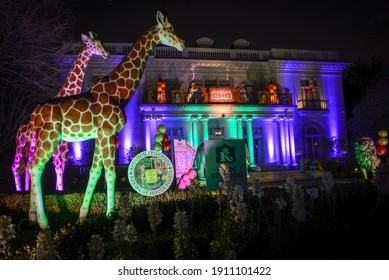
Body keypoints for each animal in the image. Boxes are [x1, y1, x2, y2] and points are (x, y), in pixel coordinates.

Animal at [11, 31, 108, 191]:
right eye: (94, 44)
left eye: (101, 42)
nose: (106, 53)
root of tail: (19, 129)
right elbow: (58, 167)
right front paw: (60, 190)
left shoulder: (66, 142)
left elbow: (62, 167)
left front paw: (59, 189)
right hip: (20, 145)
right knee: (15, 166)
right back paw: (19, 191)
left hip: (31, 146)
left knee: (27, 167)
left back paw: (26, 190)